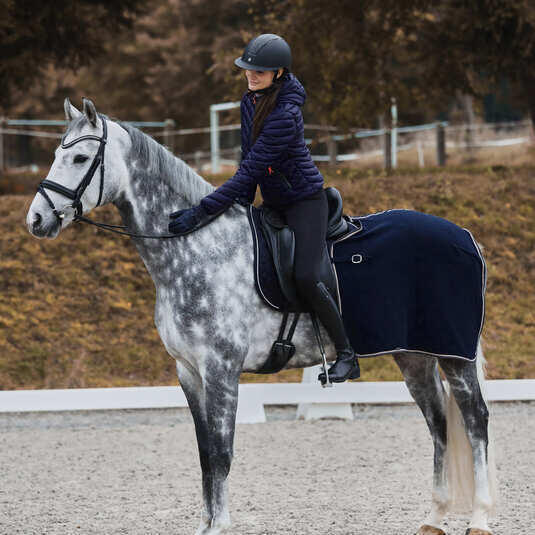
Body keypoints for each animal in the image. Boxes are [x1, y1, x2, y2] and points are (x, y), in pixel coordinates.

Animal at [26, 97, 498, 535]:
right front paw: (206, 524)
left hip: (454, 355)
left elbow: (222, 452)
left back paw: (480, 518)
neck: (197, 247)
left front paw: (219, 526)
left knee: (475, 420)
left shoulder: (221, 369)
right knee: (439, 422)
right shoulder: (189, 371)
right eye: (56, 154)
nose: (36, 219)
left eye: (80, 159)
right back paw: (434, 517)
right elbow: (205, 454)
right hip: (413, 356)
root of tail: (464, 236)